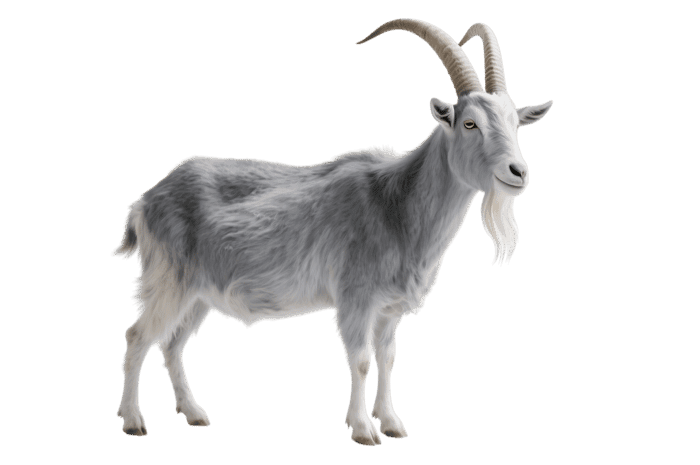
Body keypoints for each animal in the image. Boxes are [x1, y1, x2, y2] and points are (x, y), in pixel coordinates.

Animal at [111, 18, 553, 446]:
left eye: (515, 124)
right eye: (469, 123)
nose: (517, 172)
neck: (396, 204)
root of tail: (146, 200)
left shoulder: (388, 309)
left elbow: (387, 358)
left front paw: (392, 423)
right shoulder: (355, 296)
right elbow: (359, 360)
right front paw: (363, 430)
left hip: (198, 293)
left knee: (172, 343)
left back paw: (194, 413)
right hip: (169, 280)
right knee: (138, 337)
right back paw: (133, 421)